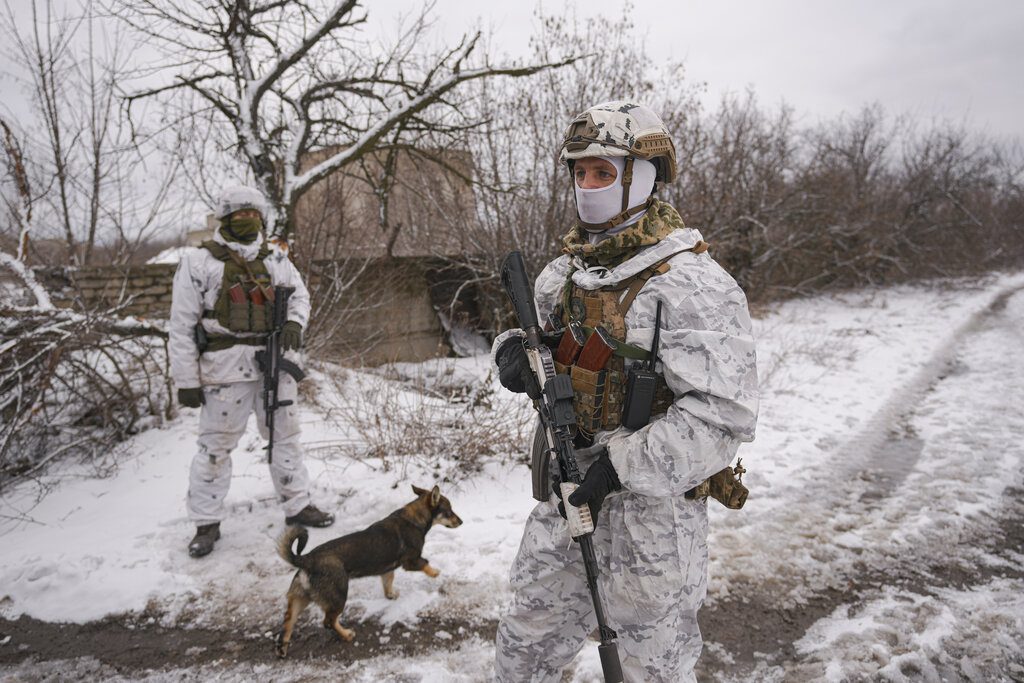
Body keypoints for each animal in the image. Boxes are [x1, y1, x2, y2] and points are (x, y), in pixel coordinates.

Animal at [274, 483, 462, 659]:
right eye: (449, 511)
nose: (461, 522)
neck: (414, 518)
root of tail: (306, 559)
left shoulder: (388, 569)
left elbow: (388, 583)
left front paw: (391, 595)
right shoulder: (411, 561)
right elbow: (425, 563)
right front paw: (435, 572)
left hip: (300, 599)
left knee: (288, 621)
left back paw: (282, 648)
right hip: (338, 596)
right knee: (328, 621)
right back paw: (346, 634)